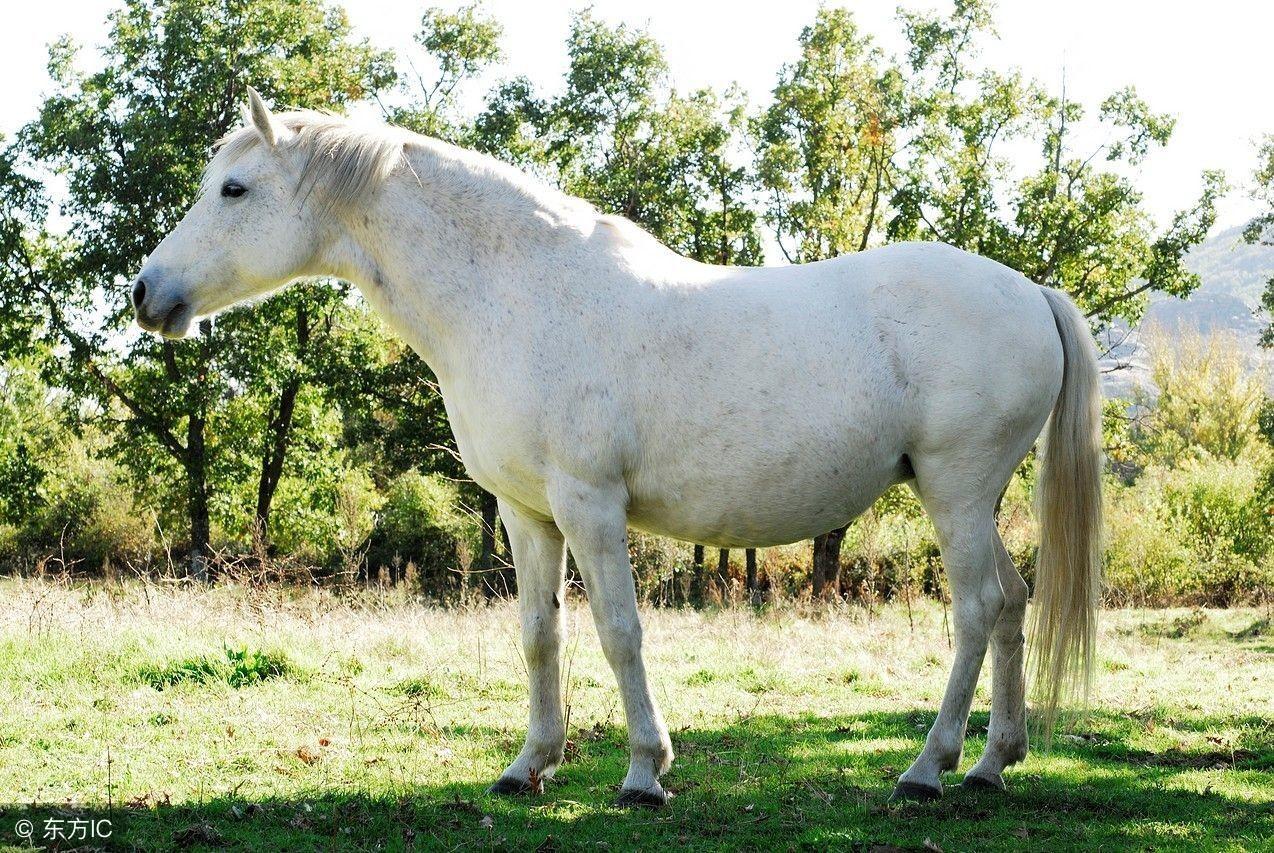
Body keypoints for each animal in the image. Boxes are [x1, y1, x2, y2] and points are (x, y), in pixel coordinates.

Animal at [131, 88, 1105, 809]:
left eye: (234, 190)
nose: (146, 293)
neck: (516, 292)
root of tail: (1029, 291)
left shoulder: (588, 502)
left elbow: (618, 630)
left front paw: (644, 770)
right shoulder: (525, 513)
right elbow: (540, 633)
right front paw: (529, 764)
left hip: (953, 490)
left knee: (978, 607)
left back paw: (927, 768)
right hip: (973, 499)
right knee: (1013, 603)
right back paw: (992, 762)